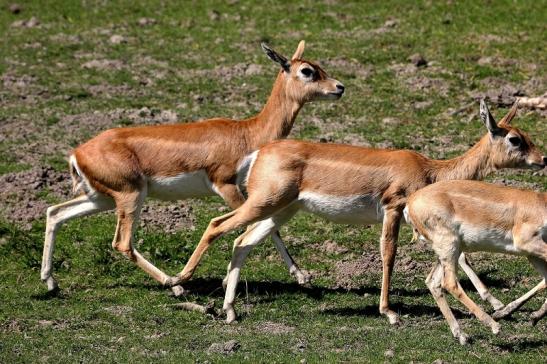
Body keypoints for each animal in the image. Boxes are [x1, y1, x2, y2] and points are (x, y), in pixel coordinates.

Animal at [40, 40, 344, 296]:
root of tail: (77, 153)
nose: (339, 87)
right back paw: (175, 285)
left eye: (319, 66)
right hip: (130, 196)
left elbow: (268, 227)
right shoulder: (226, 185)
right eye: (307, 71)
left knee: (56, 213)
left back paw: (50, 282)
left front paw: (301, 276)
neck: (247, 133)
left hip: (101, 198)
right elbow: (258, 226)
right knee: (122, 243)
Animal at [178, 99, 544, 324]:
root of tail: (259, 153)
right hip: (263, 203)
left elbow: (462, 256)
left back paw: (229, 310)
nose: (542, 159)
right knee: (216, 224)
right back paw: (179, 282)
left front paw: (497, 305)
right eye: (514, 139)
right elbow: (389, 254)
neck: (430, 170)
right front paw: (389, 312)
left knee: (243, 242)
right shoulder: (395, 209)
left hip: (281, 210)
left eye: (527, 134)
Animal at [406, 181, 547, 346]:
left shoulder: (532, 254)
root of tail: (410, 203)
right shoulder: (527, 244)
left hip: (446, 253)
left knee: (433, 282)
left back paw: (462, 335)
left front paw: (532, 316)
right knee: (449, 283)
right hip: (449, 246)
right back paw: (494, 326)